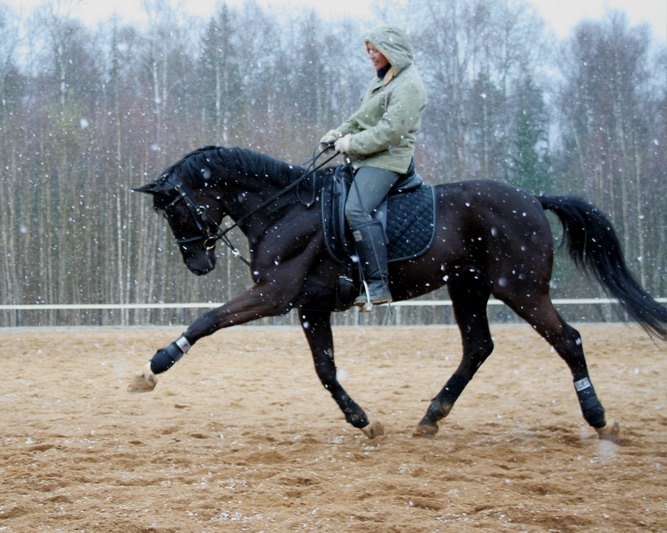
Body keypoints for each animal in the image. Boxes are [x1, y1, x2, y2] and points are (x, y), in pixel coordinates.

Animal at [128, 145, 664, 440]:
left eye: (176, 211)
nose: (197, 264)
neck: (286, 208)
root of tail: (533, 198)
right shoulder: (310, 306)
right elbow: (325, 370)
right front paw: (363, 421)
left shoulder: (275, 295)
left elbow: (207, 320)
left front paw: (155, 366)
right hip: (468, 287)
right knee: (478, 347)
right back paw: (431, 417)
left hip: (521, 289)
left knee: (567, 339)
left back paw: (599, 419)